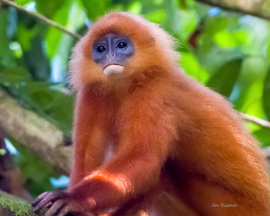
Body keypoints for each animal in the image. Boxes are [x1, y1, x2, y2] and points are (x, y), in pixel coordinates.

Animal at [32, 12, 270, 216]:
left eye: (121, 45)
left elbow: (142, 156)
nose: (110, 55)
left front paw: (71, 198)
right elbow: (86, 158)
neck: (125, 86)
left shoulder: (152, 92)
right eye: (100, 48)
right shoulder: (93, 94)